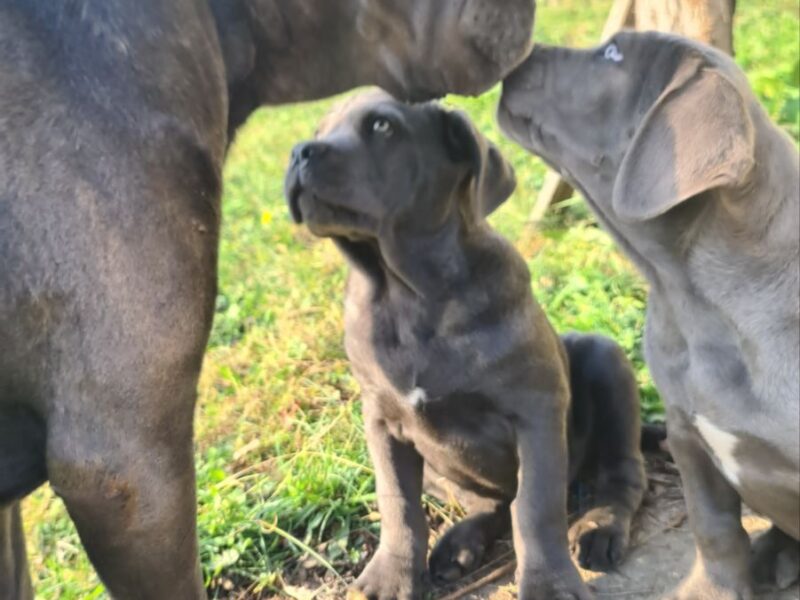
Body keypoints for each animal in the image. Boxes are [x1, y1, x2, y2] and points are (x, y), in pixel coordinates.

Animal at [284, 90, 648, 600]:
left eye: (382, 127)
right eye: (318, 129)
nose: (299, 152)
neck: (407, 294)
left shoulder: (536, 412)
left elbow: (535, 507)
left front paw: (548, 584)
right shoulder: (381, 422)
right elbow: (397, 505)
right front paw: (392, 575)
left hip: (604, 360)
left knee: (621, 474)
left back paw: (600, 526)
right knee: (488, 504)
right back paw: (460, 544)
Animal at [500, 32, 800, 600]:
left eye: (613, 55)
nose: (519, 52)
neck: (695, 302)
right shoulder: (687, 434)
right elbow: (715, 530)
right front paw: (715, 589)